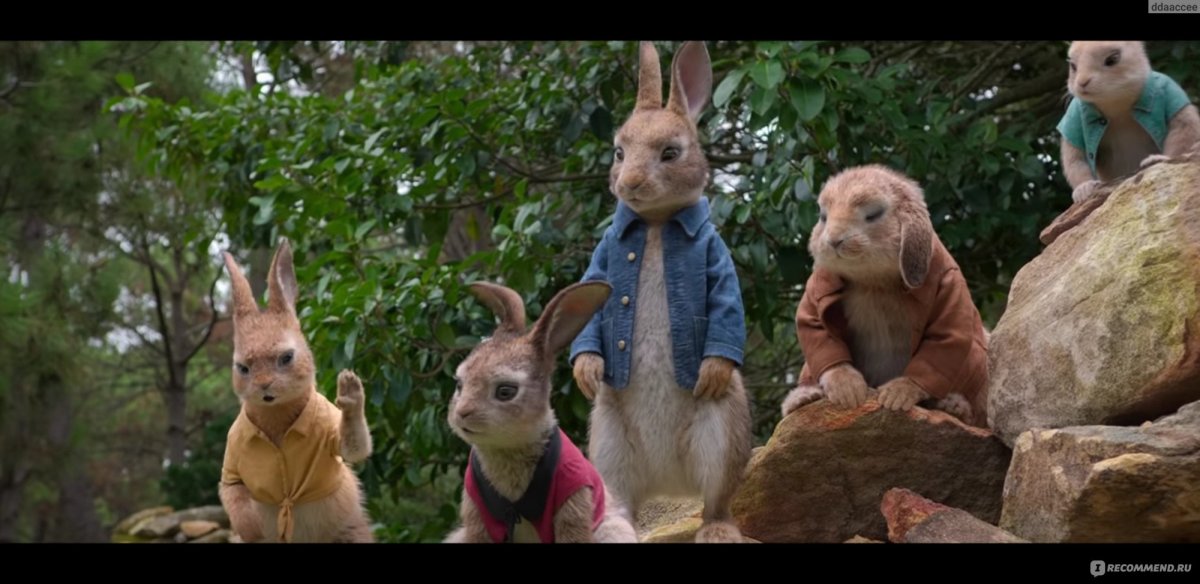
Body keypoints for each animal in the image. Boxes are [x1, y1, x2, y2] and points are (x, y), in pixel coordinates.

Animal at [217, 239, 374, 543]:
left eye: (287, 357)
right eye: (242, 367)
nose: (265, 386)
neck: (277, 418)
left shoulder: (335, 439)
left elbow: (355, 445)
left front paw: (350, 389)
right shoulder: (231, 469)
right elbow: (235, 497)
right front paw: (253, 530)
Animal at [569, 41, 753, 544]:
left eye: (671, 152)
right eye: (618, 151)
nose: (629, 184)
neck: (654, 223)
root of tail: (671, 484)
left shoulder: (716, 262)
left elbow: (725, 302)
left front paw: (711, 370)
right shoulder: (602, 265)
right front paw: (586, 371)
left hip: (720, 433)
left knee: (717, 502)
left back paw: (716, 532)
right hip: (608, 443)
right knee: (621, 502)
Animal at [780, 165, 990, 427]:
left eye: (873, 214)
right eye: (823, 217)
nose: (834, 241)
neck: (874, 281)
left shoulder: (949, 289)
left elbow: (944, 340)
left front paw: (898, 395)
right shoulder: (815, 297)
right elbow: (817, 332)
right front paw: (847, 390)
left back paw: (955, 407)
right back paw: (803, 398)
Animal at [1059, 41, 1200, 204]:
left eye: (1112, 59)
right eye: (1072, 66)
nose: (1082, 82)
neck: (1115, 103)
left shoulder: (1171, 96)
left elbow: (1183, 130)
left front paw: (1159, 158)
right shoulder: (1073, 118)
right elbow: (1074, 157)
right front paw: (1084, 189)